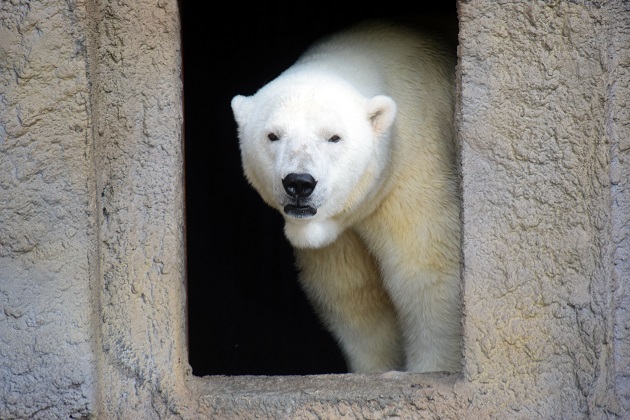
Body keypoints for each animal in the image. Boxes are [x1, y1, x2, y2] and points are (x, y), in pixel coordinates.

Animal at [230, 20, 462, 374]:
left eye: (334, 137)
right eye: (273, 135)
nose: (299, 183)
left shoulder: (416, 168)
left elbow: (428, 274)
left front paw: (430, 370)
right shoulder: (333, 235)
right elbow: (352, 295)